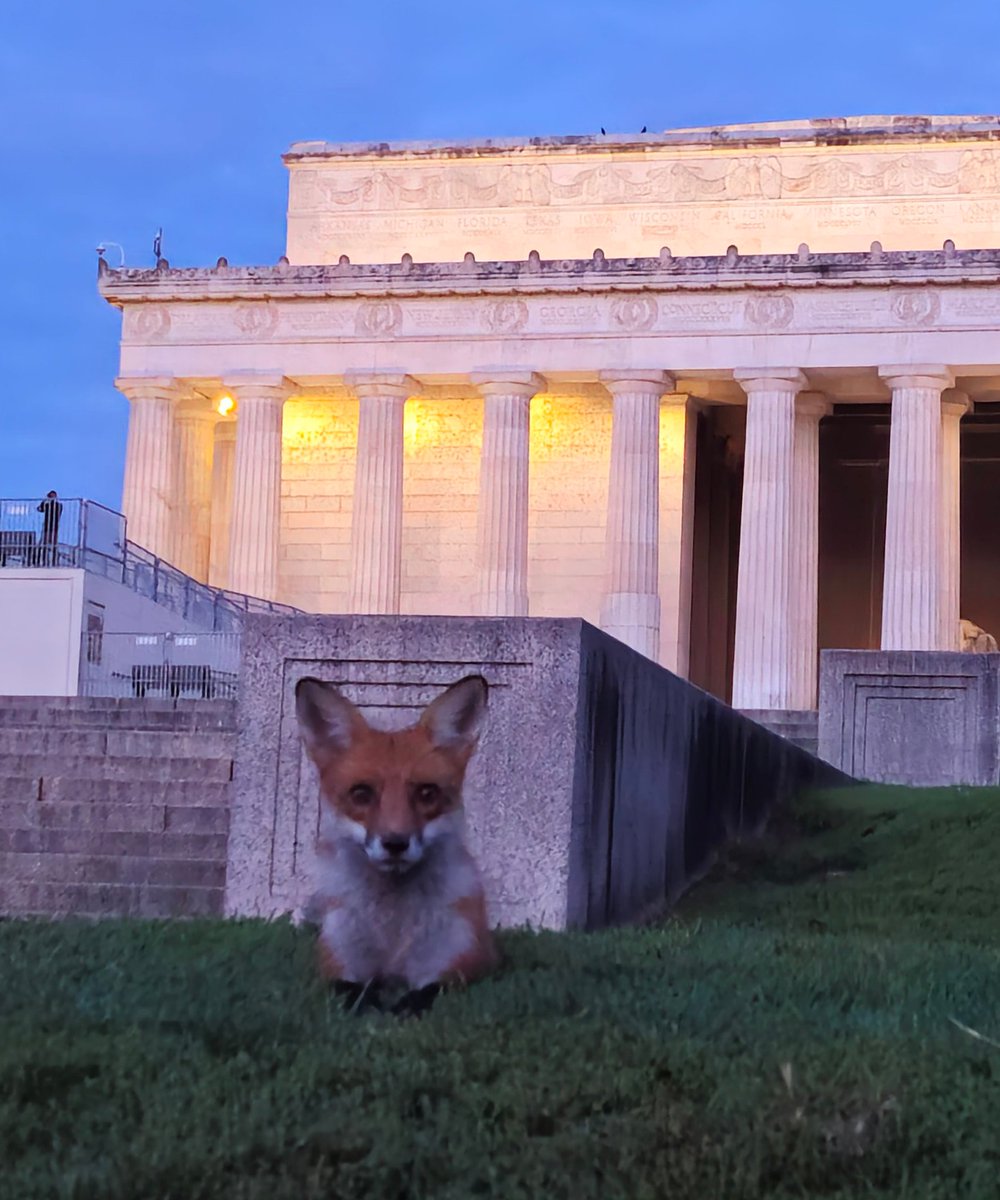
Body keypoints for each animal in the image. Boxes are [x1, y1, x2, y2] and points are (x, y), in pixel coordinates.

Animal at [295, 673, 499, 1015]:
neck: (393, 931)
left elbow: (423, 996)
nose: (395, 843)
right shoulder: (338, 960)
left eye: (427, 793)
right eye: (361, 794)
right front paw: (372, 1005)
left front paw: (398, 1009)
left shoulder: (459, 962)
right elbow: (352, 993)